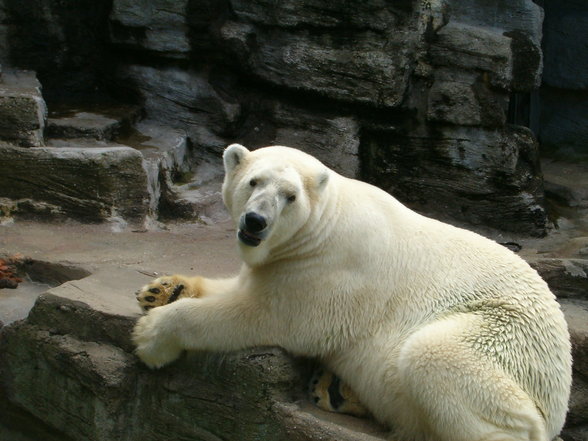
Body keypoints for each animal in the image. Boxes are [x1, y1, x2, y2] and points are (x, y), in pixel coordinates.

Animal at [132, 143, 568, 438]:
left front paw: (151, 337)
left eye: (290, 197)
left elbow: (259, 314)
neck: (323, 222)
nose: (255, 221)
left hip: (503, 337)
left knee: (436, 358)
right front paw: (161, 290)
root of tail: (559, 392)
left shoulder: (327, 274)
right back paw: (335, 389)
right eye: (253, 181)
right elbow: (238, 285)